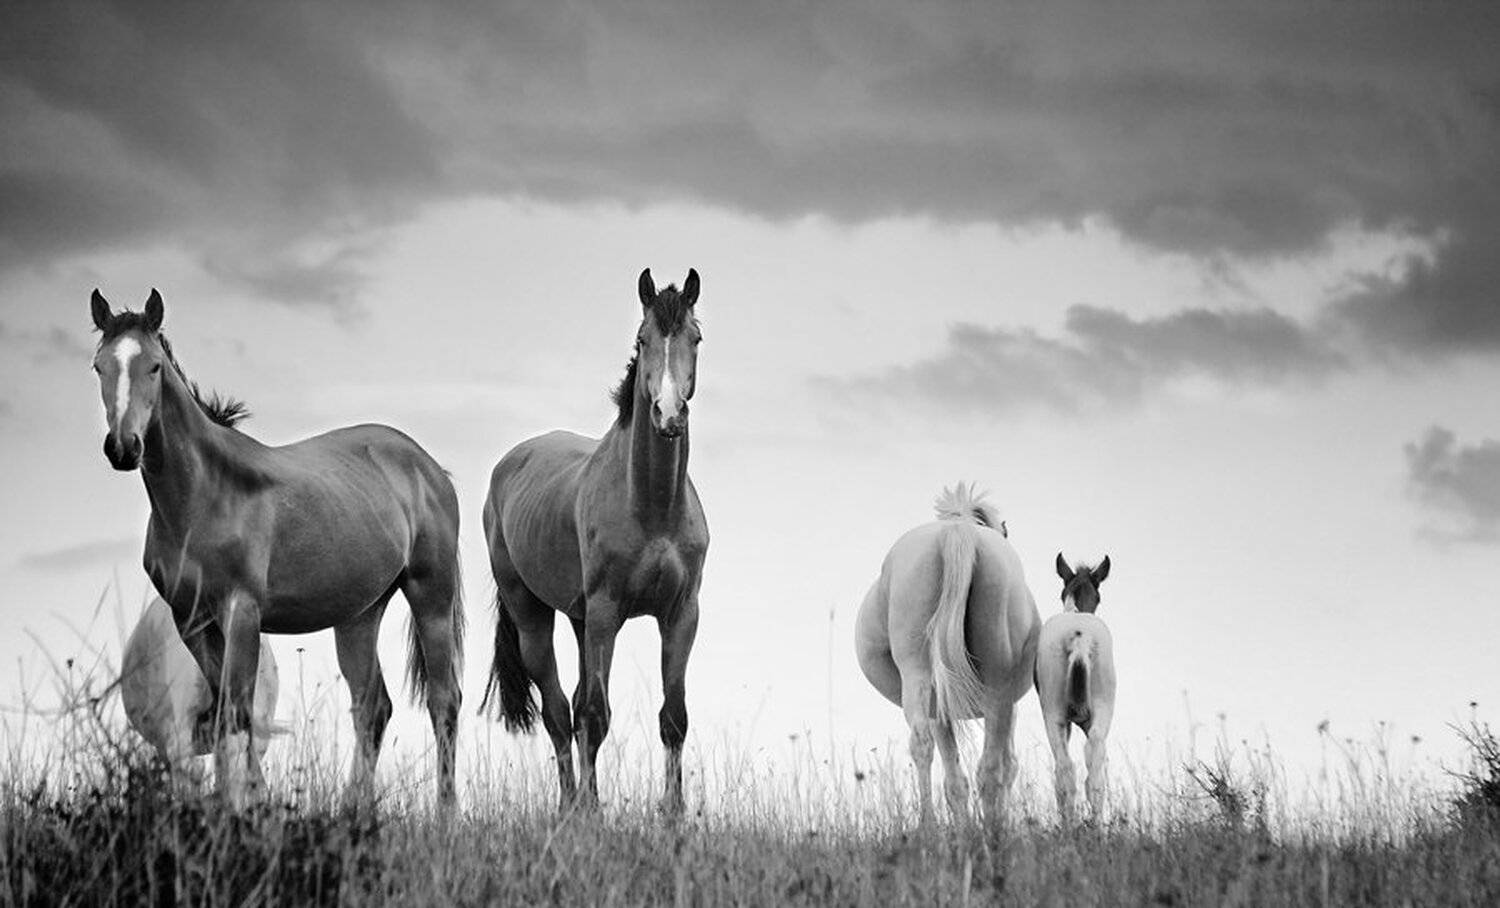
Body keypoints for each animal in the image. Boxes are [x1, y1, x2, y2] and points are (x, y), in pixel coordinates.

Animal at [481, 268, 708, 813]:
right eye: (643, 339)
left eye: (695, 338)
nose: (668, 414)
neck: (652, 507)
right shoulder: (608, 612)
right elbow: (595, 714)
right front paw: (593, 813)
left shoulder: (681, 614)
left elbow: (674, 717)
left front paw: (674, 814)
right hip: (536, 616)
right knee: (560, 711)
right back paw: (572, 806)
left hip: (580, 619)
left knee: (578, 709)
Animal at [855, 483, 1040, 824]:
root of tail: (956, 531)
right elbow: (1008, 766)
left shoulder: (940, 706)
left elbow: (955, 779)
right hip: (995, 686)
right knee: (990, 768)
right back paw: (989, 829)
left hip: (921, 675)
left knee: (923, 743)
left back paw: (929, 825)